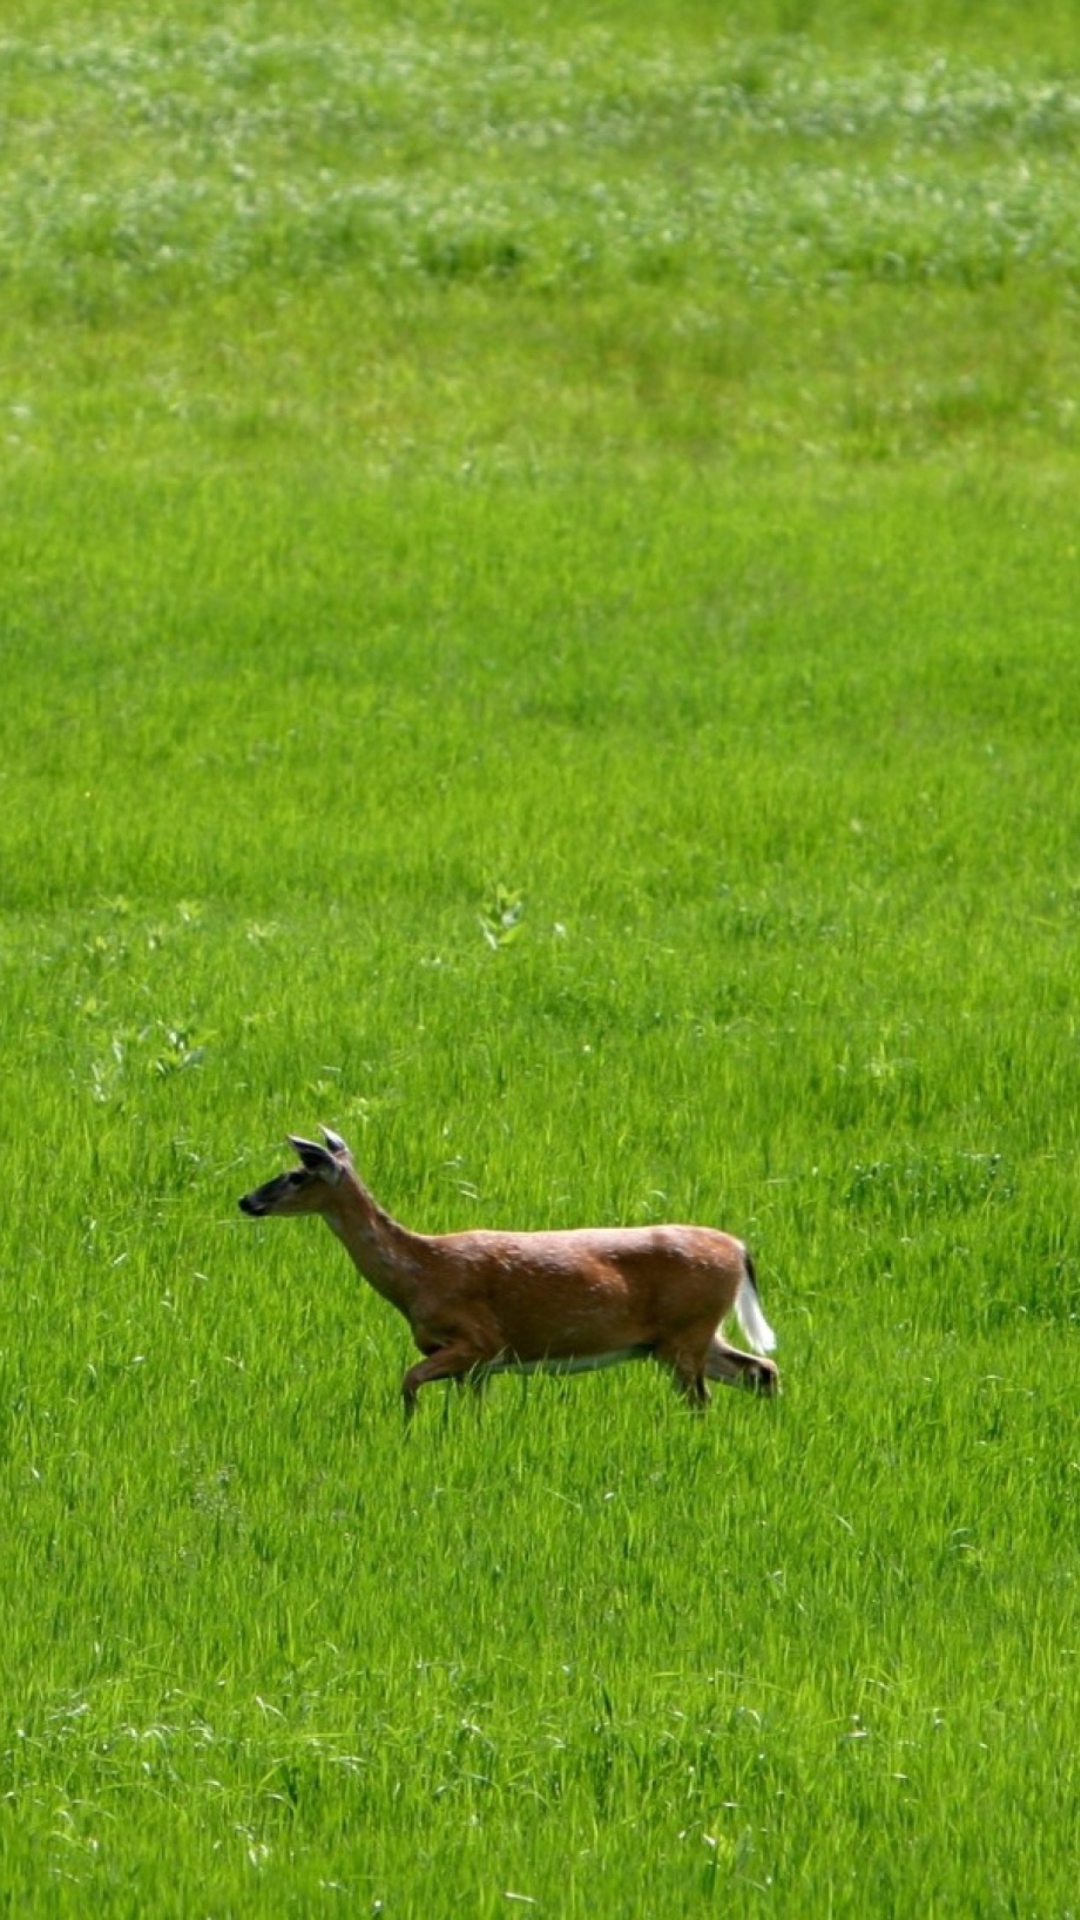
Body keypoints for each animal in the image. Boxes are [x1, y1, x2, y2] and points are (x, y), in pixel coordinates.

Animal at [237, 1121, 772, 1413]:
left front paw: (408, 1434)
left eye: (295, 1175)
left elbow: (408, 1382)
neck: (417, 1275)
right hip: (690, 1335)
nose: (246, 1201)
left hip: (685, 1332)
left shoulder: (478, 1341)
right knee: (761, 1369)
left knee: (708, 1396)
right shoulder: (476, 1367)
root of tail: (738, 1248)